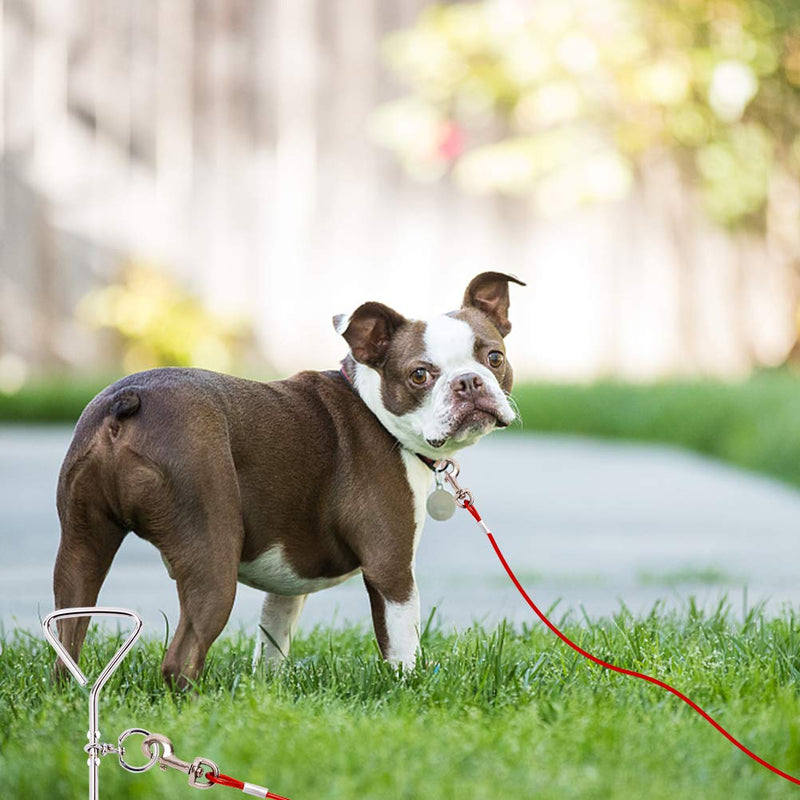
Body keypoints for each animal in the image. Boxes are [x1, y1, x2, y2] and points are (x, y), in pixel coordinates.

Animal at [51, 272, 524, 684]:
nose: (469, 382)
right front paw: (409, 690)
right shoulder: (391, 569)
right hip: (210, 554)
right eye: (420, 375)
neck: (375, 412)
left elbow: (272, 640)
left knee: (67, 639)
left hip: (81, 546)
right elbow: (401, 644)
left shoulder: (287, 586)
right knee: (181, 658)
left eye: (494, 358)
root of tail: (130, 401)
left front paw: (266, 692)